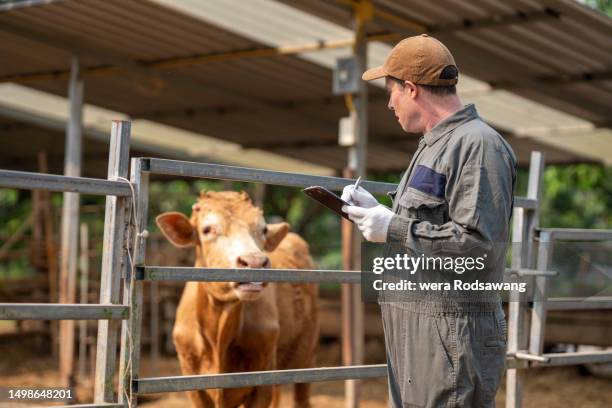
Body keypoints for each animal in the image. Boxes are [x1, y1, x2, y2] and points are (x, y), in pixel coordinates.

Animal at [157, 191, 320, 408]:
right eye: (207, 229)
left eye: (263, 229)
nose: (255, 262)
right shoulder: (193, 382)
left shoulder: (263, 377)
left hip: (307, 353)